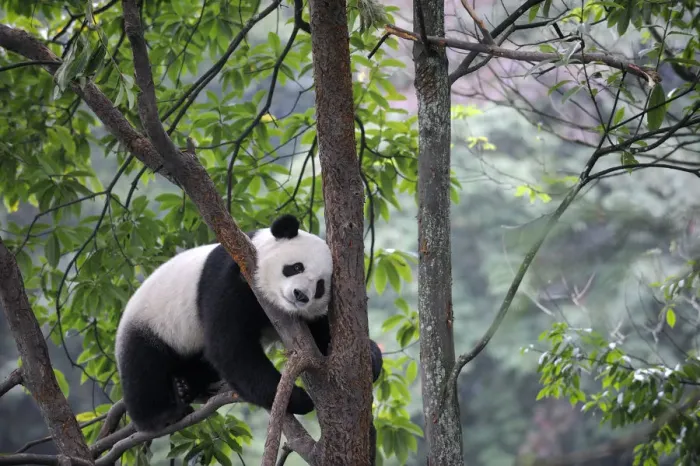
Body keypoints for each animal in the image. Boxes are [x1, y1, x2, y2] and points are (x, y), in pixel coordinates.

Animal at [115, 214, 383, 433]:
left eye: (319, 287)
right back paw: (162, 416)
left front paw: (371, 359)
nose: (300, 295)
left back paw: (187, 386)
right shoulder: (230, 278)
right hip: (152, 321)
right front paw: (298, 398)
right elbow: (231, 347)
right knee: (143, 366)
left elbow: (322, 336)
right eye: (296, 267)